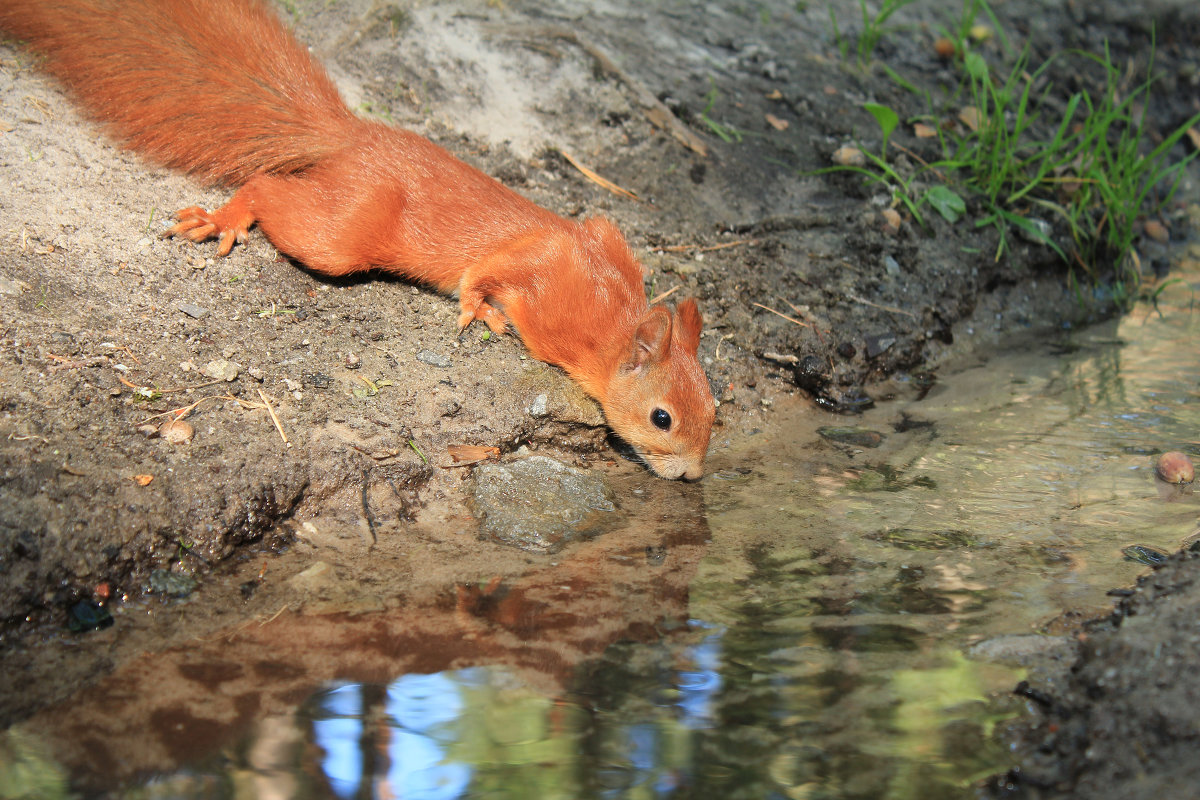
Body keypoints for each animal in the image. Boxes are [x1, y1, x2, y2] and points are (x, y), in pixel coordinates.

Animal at [0, 0, 710, 479]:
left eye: (713, 409)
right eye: (662, 418)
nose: (694, 475)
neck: (608, 314)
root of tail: (349, 137)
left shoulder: (599, 237)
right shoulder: (545, 263)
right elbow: (490, 269)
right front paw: (478, 308)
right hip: (342, 233)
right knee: (269, 187)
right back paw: (227, 216)